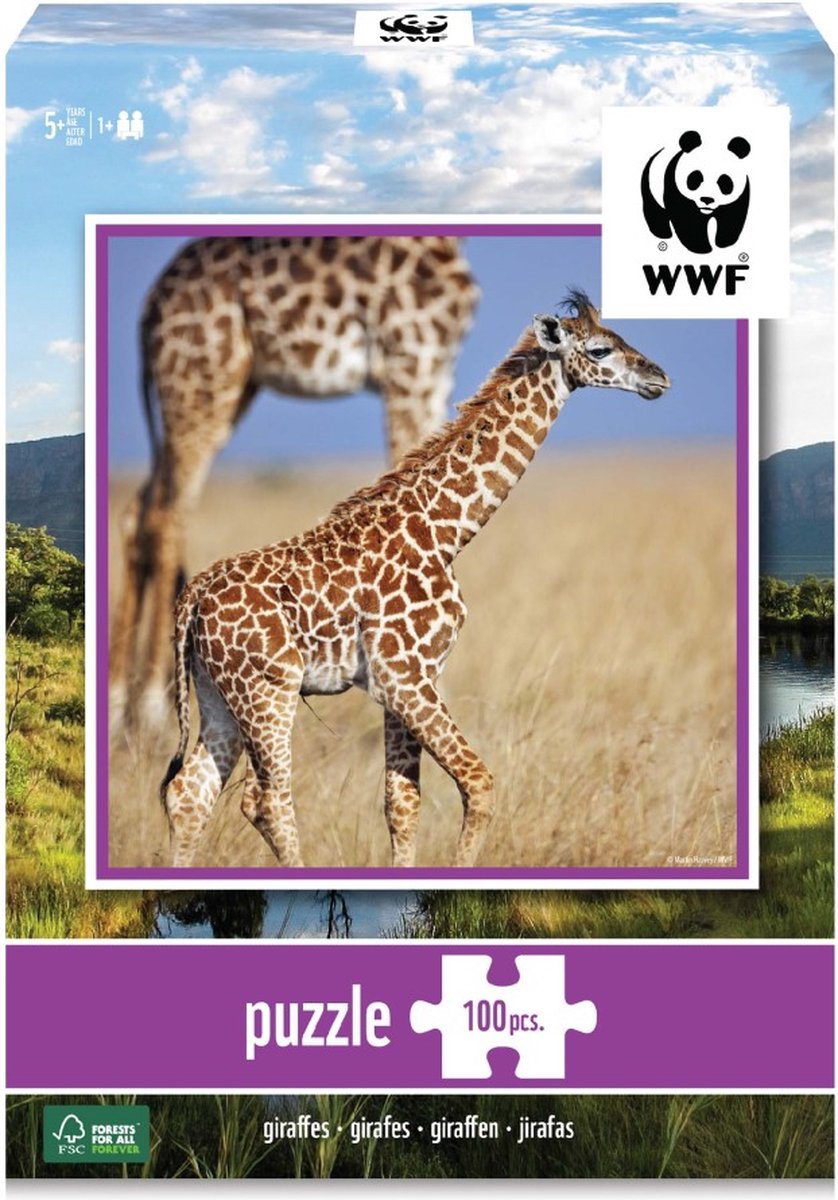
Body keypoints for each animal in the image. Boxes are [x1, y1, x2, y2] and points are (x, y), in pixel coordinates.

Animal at [109, 235, 479, 730]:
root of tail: (151, 307)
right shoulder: (411, 360)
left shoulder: (435, 369)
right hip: (201, 379)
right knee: (166, 516)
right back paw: (150, 706)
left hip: (223, 386)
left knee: (139, 513)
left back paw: (117, 703)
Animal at [160, 292, 670, 869]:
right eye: (601, 349)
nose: (658, 377)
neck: (447, 529)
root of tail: (192, 599)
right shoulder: (404, 676)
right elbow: (478, 782)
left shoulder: (411, 676)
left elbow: (402, 801)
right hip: (268, 688)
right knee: (264, 799)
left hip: (215, 692)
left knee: (190, 792)